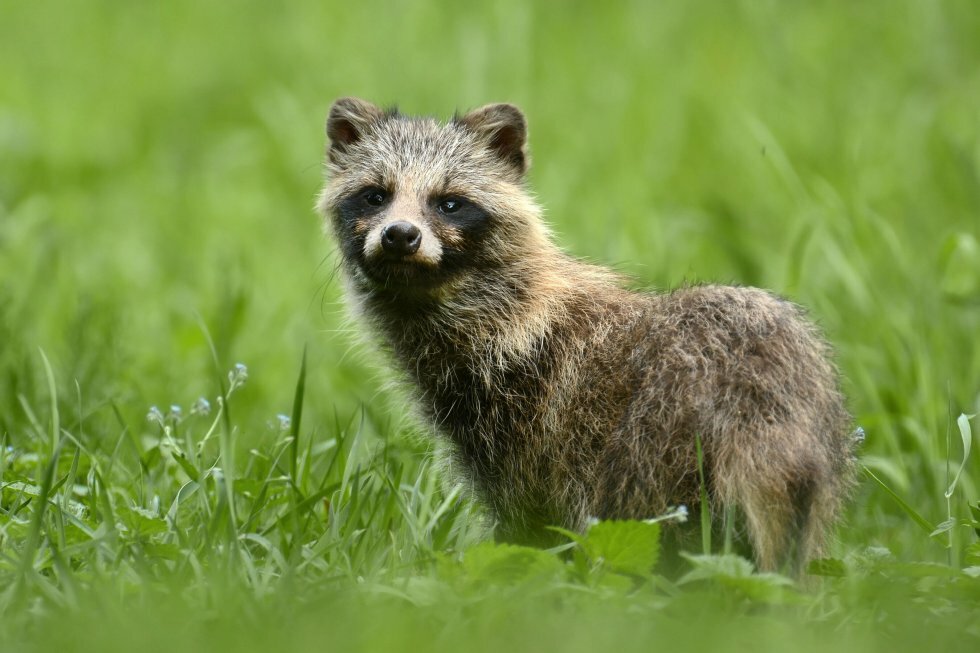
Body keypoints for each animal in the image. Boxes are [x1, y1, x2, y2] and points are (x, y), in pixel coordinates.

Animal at [318, 98, 852, 576]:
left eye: (449, 202)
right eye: (375, 195)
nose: (400, 234)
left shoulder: (527, 421)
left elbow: (529, 526)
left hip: (658, 440)